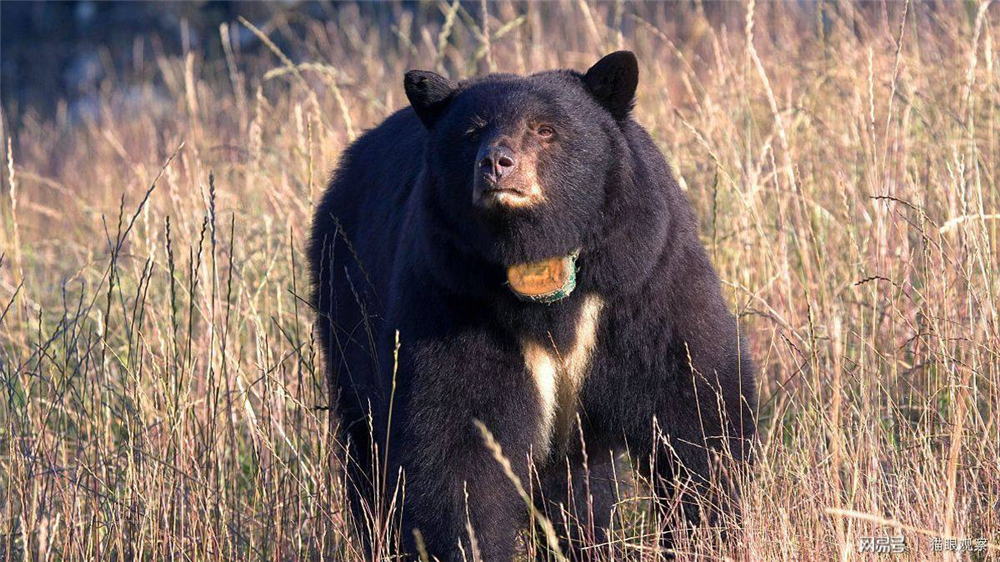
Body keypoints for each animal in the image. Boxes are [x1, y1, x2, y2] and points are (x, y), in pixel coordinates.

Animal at [308, 51, 752, 556]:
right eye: (472, 131)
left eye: (545, 129)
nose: (497, 163)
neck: (539, 265)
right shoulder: (454, 296)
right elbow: (456, 445)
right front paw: (468, 545)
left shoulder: (643, 278)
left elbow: (692, 407)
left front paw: (709, 532)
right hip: (347, 310)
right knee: (368, 456)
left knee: (576, 488)